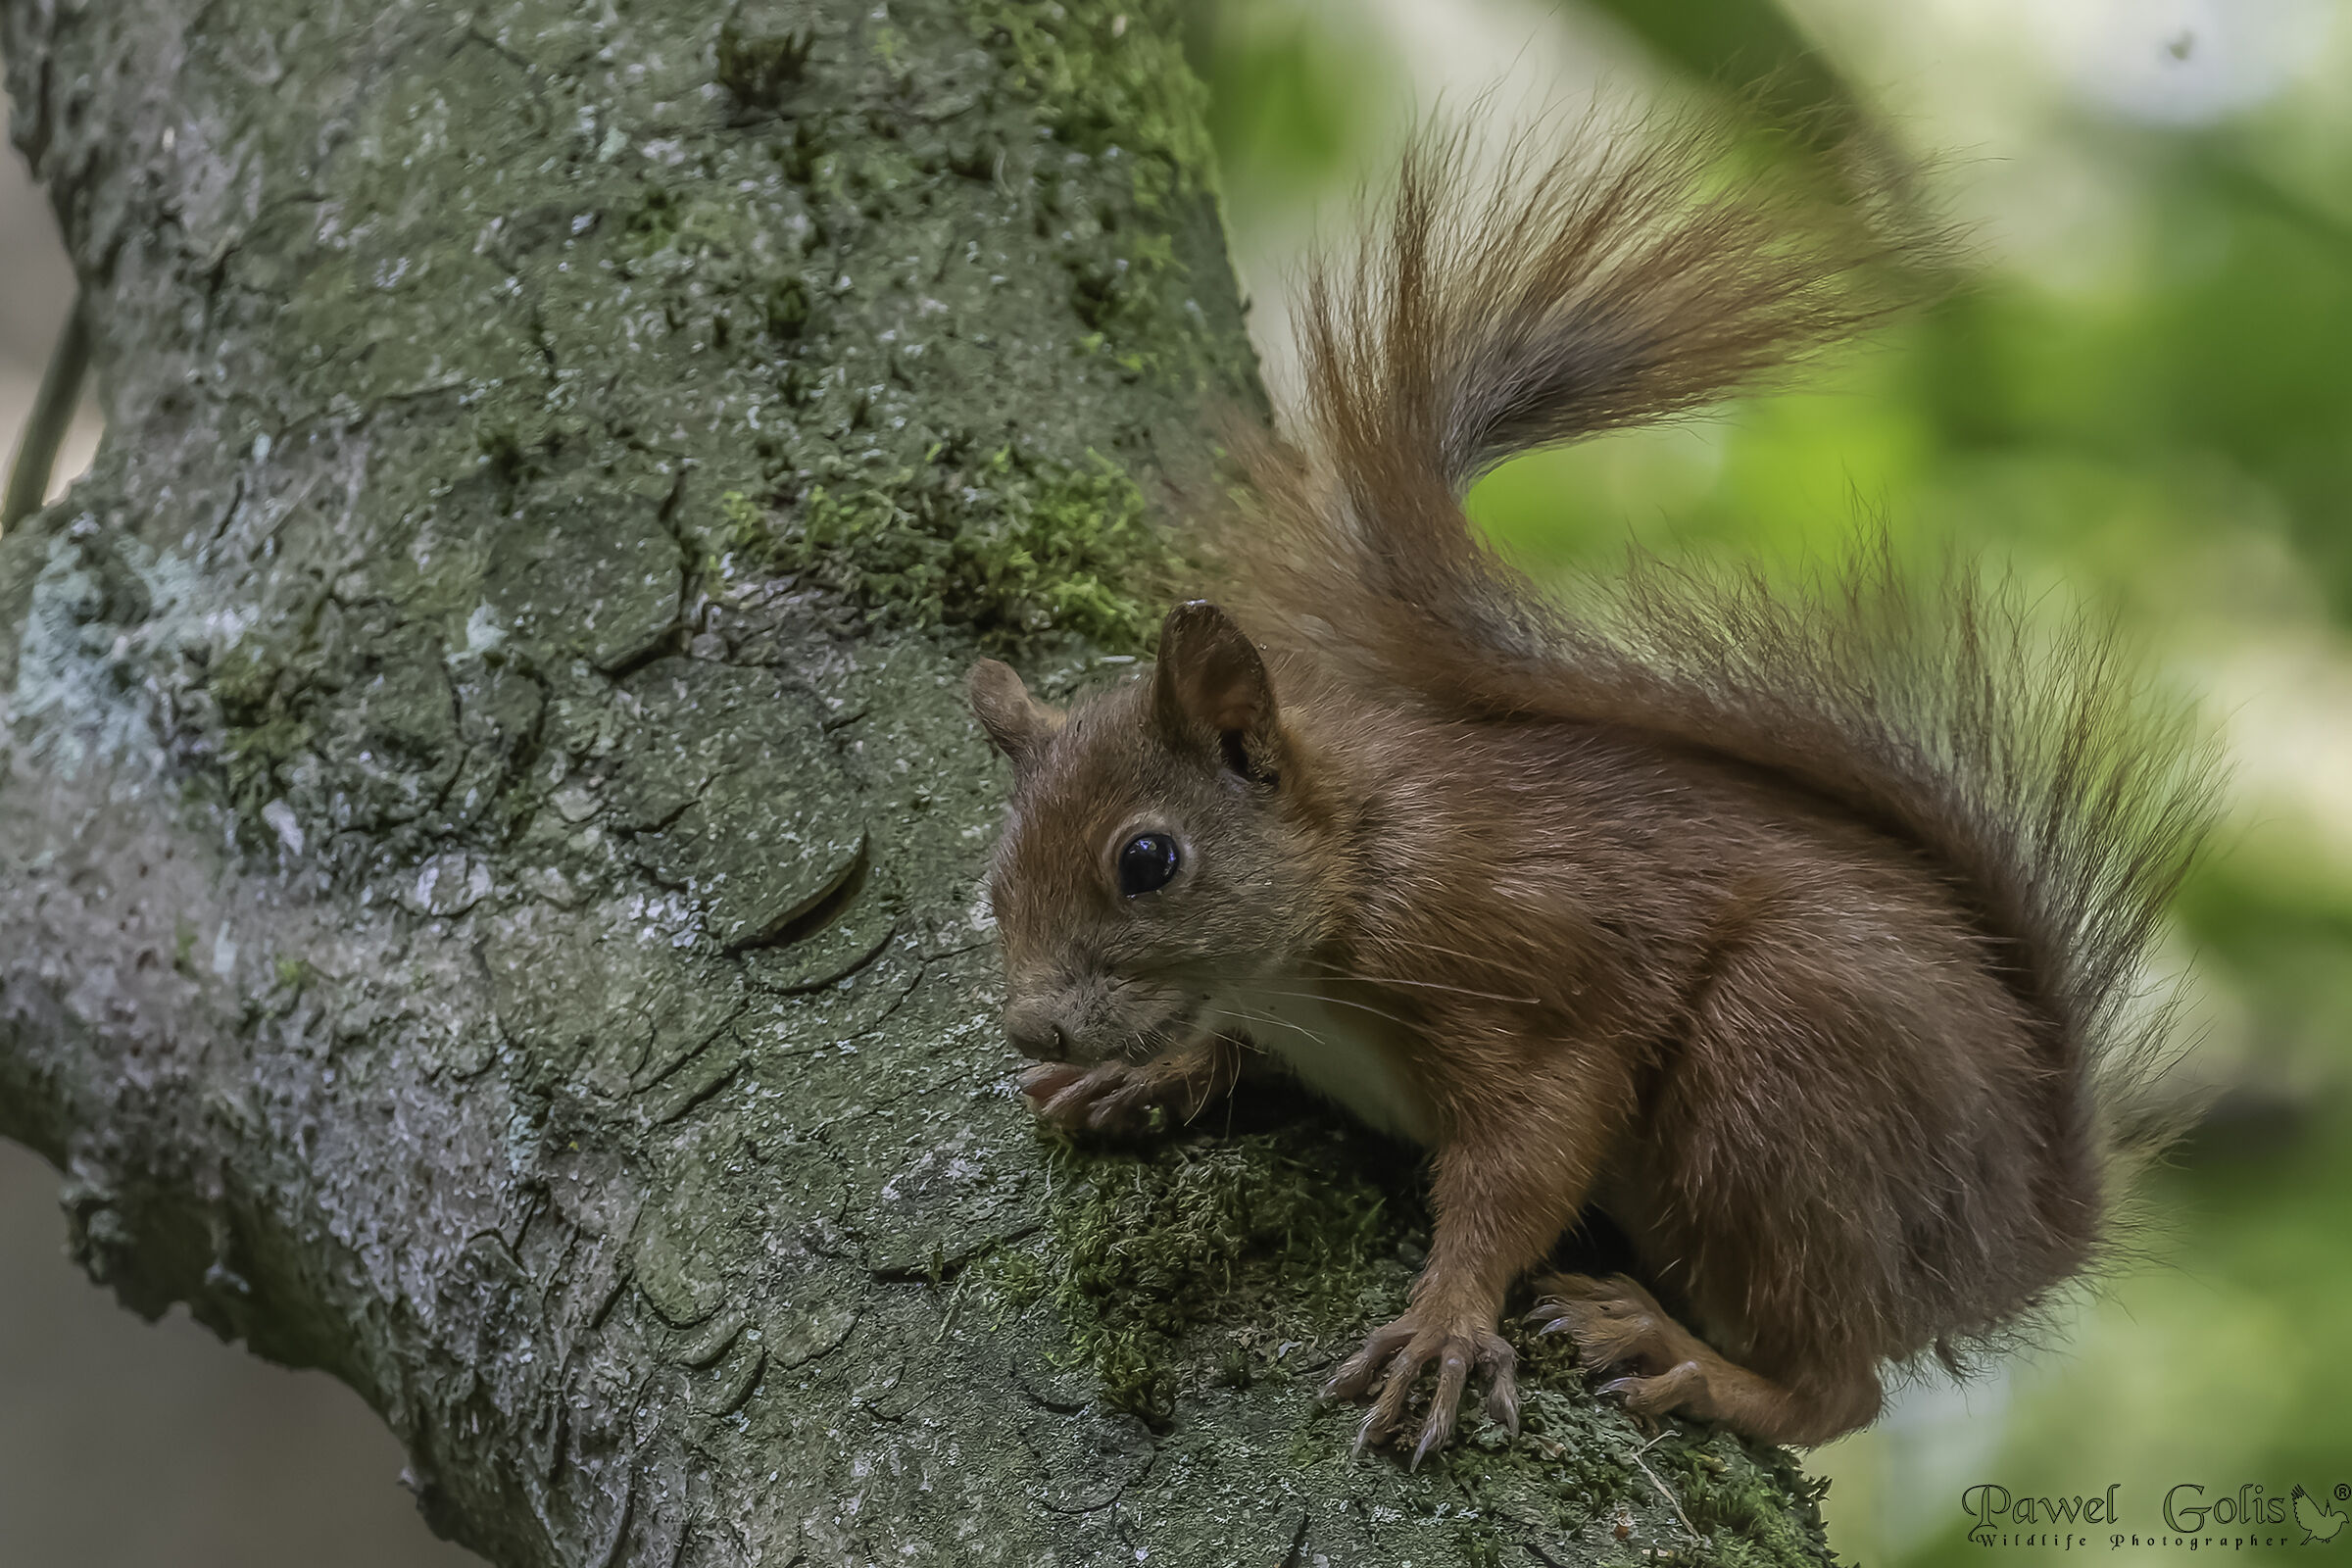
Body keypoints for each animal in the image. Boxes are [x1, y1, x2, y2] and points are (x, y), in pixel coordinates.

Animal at [965, 111, 2215, 1466]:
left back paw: (1684, 1355)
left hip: (1783, 1073)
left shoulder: (1524, 967)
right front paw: (1147, 1074)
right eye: (994, 880)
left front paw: (1447, 1322)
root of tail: (2023, 1232)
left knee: (1842, 1386)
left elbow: (1526, 1158)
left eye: (1147, 861)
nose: (1034, 1026)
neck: (1352, 866)